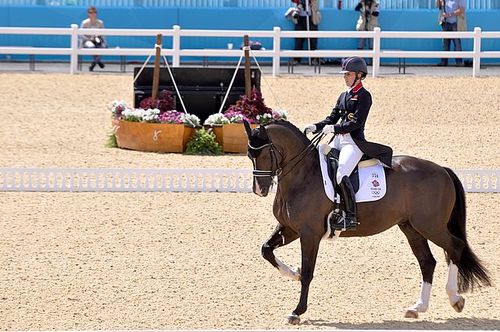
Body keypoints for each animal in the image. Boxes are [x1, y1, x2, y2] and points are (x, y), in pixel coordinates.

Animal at [243, 120, 492, 324]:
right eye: (249, 155)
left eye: (265, 153)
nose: (259, 190)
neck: (302, 176)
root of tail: (442, 170)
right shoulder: (290, 229)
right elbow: (266, 250)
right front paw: (292, 273)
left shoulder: (309, 234)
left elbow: (308, 273)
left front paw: (297, 311)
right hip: (411, 227)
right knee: (427, 262)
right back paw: (418, 307)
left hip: (431, 226)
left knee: (455, 247)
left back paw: (455, 299)